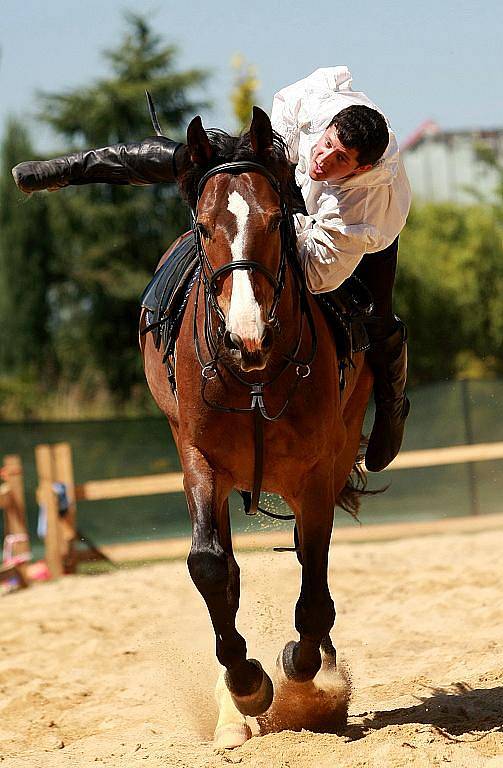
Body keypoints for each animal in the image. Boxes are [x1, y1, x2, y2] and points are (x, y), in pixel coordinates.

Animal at [140, 106, 372, 744]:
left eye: (276, 220)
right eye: (203, 226)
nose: (248, 334)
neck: (255, 378)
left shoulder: (316, 470)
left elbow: (313, 579)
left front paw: (303, 671)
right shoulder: (199, 460)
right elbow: (210, 565)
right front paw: (246, 685)